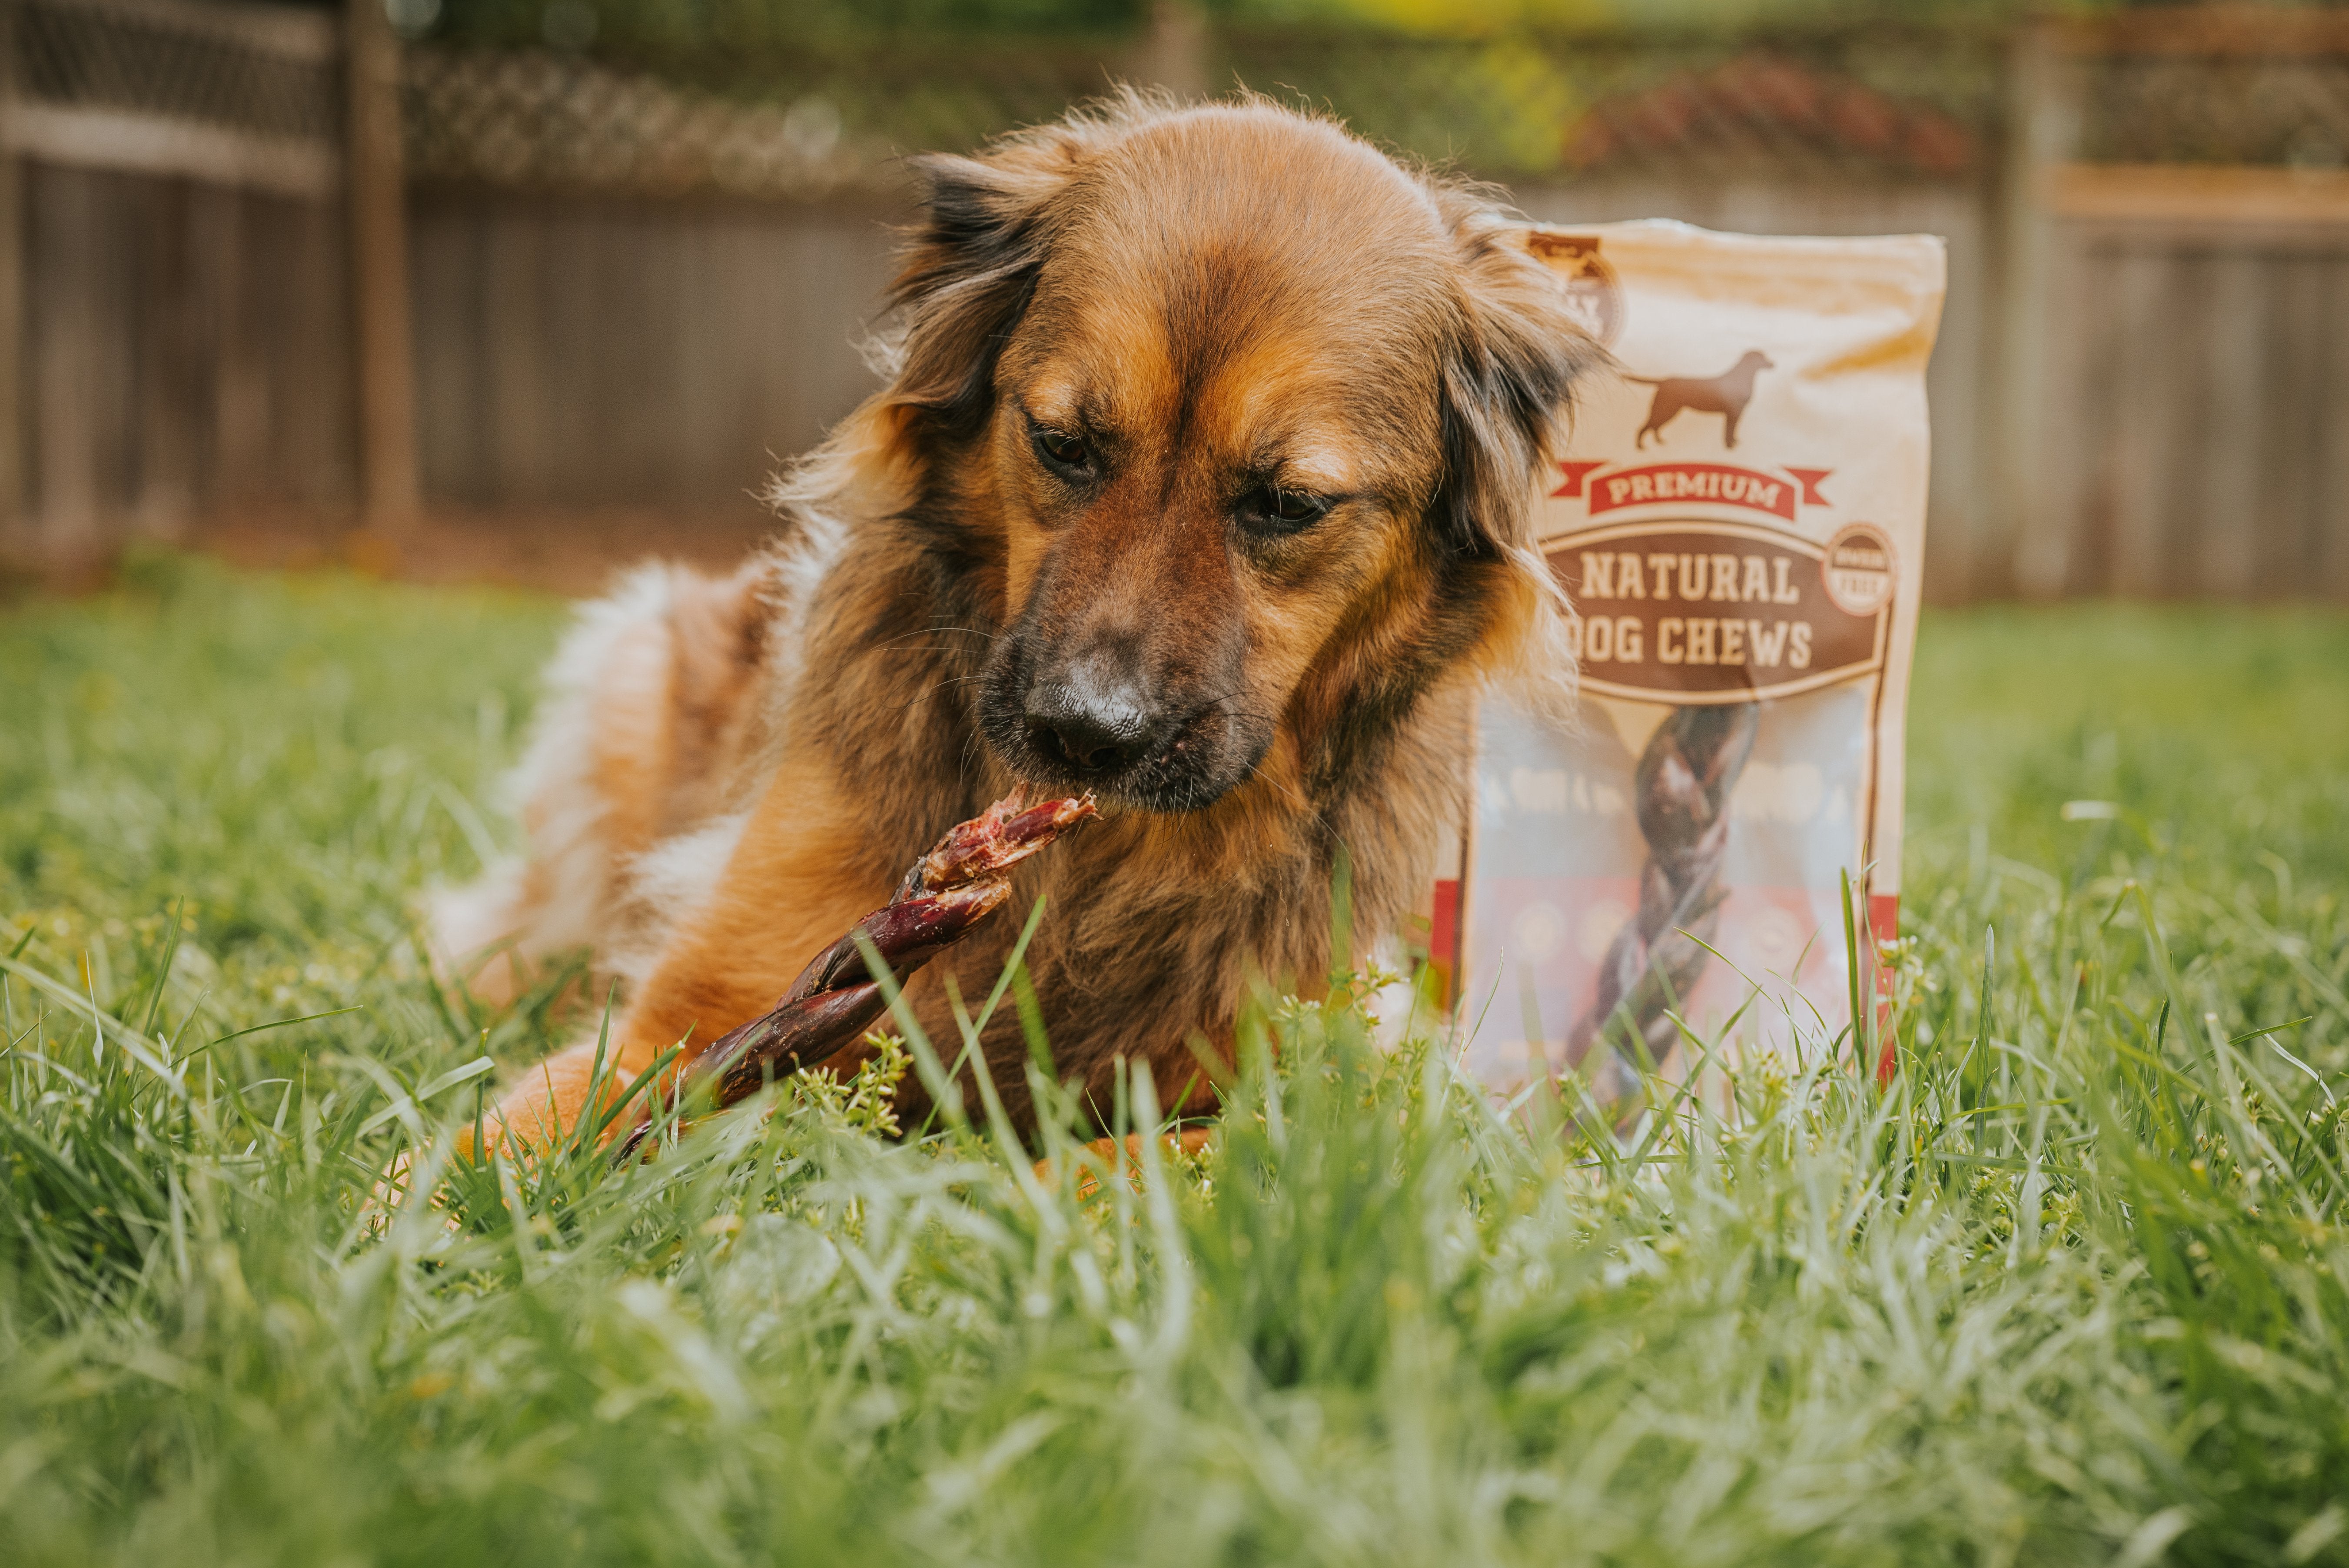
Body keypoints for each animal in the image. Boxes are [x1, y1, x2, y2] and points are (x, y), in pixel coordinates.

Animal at [427, 95, 1597, 1150]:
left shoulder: (1334, 1082)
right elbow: (511, 1133)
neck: (1095, 860)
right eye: (1063, 443)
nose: (1085, 734)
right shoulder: (703, 1010)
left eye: (1286, 503)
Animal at [1625, 352, 1766, 451]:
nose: (1771, 364)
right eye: (1763, 358)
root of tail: (1664, 381)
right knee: (1645, 427)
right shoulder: (1732, 414)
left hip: (1667, 410)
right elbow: (1729, 431)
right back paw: (1640, 447)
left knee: (1655, 427)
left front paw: (1734, 442)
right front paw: (1729, 446)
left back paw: (1659, 442)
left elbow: (1733, 431)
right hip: (1665, 409)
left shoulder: (1737, 413)